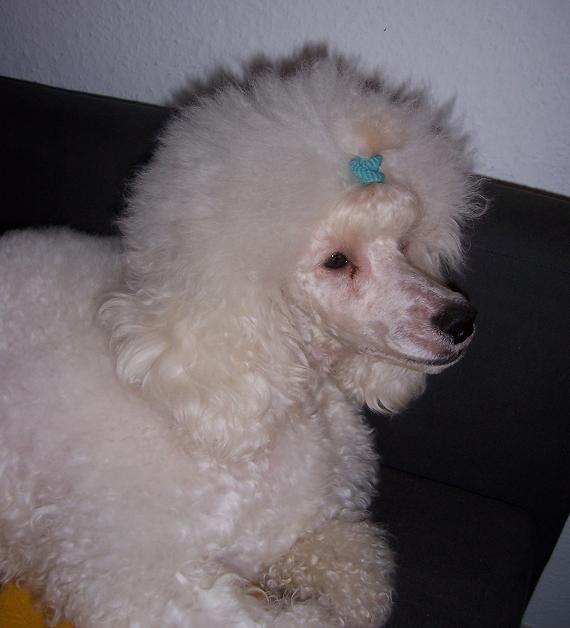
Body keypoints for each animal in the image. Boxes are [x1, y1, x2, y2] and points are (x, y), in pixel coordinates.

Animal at [0, 57, 480, 627]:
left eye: (404, 243)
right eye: (337, 261)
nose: (461, 321)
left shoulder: (321, 530)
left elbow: (361, 582)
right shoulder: (136, 580)